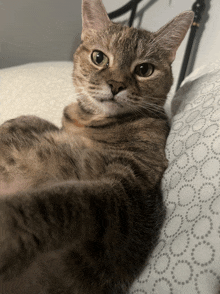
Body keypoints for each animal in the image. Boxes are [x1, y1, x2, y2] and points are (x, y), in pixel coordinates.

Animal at [0, 1, 192, 292]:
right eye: (99, 57)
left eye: (144, 70)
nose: (116, 85)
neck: (92, 120)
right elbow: (35, 122)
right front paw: (14, 124)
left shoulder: (128, 193)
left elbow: (60, 202)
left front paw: (8, 227)